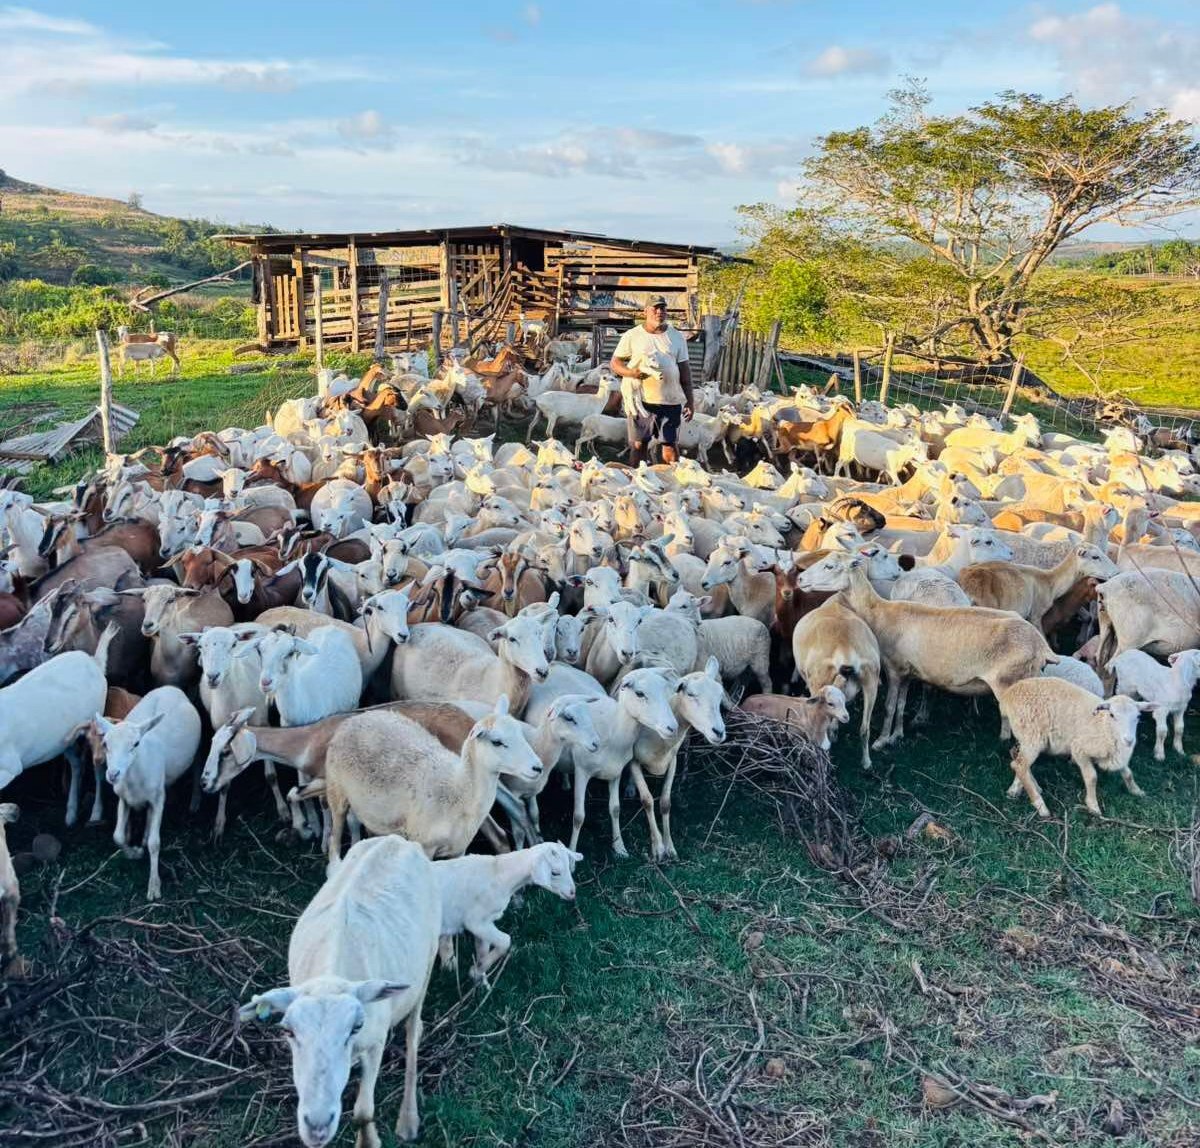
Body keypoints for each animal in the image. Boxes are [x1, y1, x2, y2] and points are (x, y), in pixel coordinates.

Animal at [90, 686, 203, 900]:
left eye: (135, 744)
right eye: (106, 744)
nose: (113, 774)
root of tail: (171, 688)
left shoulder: (158, 799)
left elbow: (154, 843)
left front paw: (154, 886)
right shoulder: (123, 799)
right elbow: (118, 836)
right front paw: (134, 853)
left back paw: (194, 803)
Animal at [239, 835, 439, 1145]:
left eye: (355, 1026)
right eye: (288, 1031)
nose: (317, 1126)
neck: (332, 971)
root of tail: (397, 839)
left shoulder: (375, 1041)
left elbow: (363, 1112)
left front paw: (369, 1142)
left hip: (429, 956)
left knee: (413, 1032)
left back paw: (408, 1119)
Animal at [318, 695, 543, 866]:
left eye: (520, 734)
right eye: (497, 742)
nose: (538, 767)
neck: (459, 789)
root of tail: (356, 719)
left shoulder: (459, 849)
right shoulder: (424, 846)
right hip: (336, 792)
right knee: (335, 839)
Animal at [433, 841, 582, 982]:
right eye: (555, 873)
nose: (572, 893)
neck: (499, 873)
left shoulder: (485, 922)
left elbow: (482, 950)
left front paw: (479, 974)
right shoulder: (475, 921)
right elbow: (505, 940)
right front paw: (475, 971)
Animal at [997, 678, 1150, 817]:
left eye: (1138, 716)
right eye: (1112, 715)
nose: (1129, 740)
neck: (1103, 724)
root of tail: (1008, 694)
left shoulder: (1115, 756)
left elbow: (1128, 773)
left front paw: (1137, 791)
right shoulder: (1079, 749)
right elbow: (1091, 777)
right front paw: (1093, 806)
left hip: (1025, 737)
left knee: (1016, 757)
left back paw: (1022, 789)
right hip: (1032, 736)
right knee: (1019, 766)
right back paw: (1041, 806)